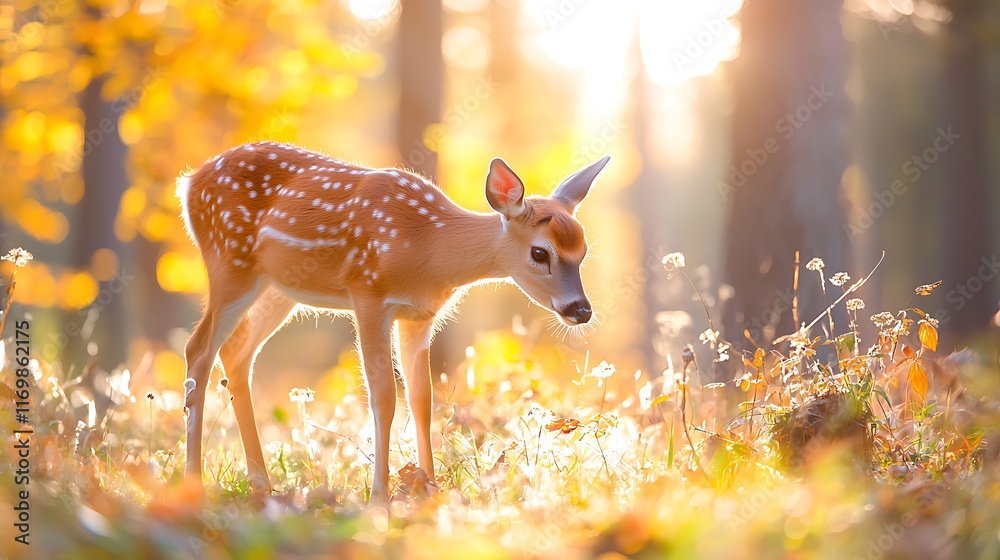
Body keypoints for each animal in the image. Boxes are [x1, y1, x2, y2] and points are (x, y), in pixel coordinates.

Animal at [176, 141, 610, 505]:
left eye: (584, 250)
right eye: (540, 253)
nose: (580, 310)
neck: (428, 249)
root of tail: (189, 183)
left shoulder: (419, 316)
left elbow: (422, 397)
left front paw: (430, 489)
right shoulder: (367, 295)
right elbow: (383, 395)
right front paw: (380, 498)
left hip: (280, 288)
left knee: (236, 350)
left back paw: (262, 485)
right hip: (229, 262)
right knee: (198, 347)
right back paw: (193, 482)